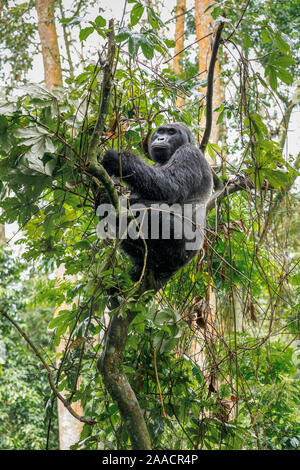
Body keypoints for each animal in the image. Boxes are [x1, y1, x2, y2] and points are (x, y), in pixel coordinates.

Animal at [101, 121, 213, 290]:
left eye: (171, 132)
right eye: (160, 131)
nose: (160, 138)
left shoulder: (189, 153)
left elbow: (170, 187)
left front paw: (118, 160)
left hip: (183, 251)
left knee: (142, 211)